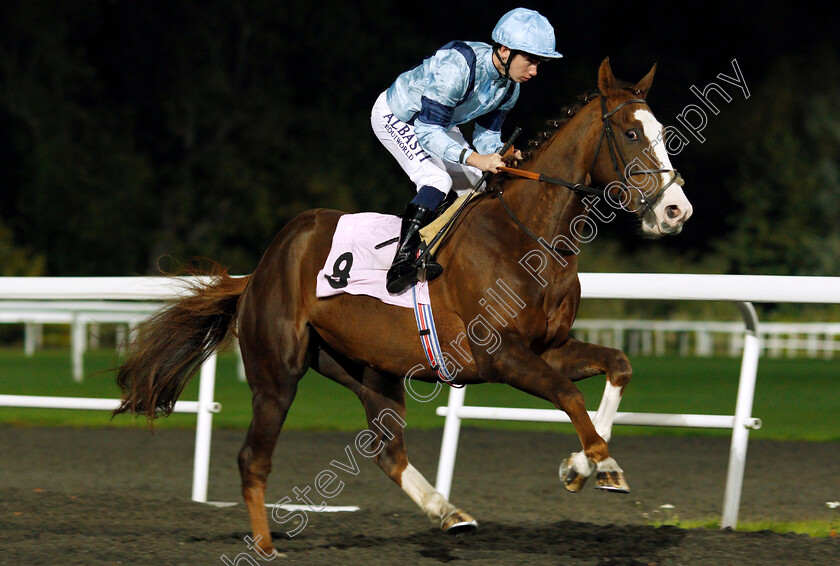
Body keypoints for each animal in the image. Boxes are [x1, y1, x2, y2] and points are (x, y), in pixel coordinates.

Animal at [118, 60, 696, 556]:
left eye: (662, 130)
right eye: (630, 133)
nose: (676, 210)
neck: (528, 237)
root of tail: (262, 266)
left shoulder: (548, 347)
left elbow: (617, 366)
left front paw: (585, 465)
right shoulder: (501, 356)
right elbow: (569, 395)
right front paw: (599, 464)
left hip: (369, 369)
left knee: (387, 451)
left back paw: (449, 512)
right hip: (277, 371)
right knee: (253, 459)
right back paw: (263, 546)